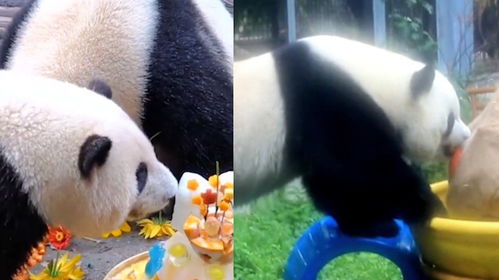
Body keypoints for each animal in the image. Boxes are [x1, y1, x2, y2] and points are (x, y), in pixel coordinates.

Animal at [236, 35, 470, 236]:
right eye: (451, 120)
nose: (467, 136)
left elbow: (326, 183)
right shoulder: (328, 102)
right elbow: (357, 171)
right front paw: (428, 209)